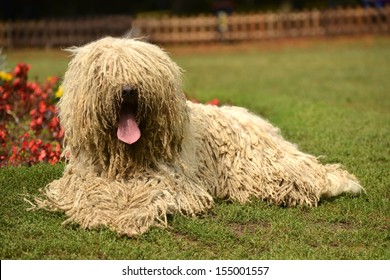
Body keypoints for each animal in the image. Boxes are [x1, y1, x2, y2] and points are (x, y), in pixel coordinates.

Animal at [35, 36, 364, 235]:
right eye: (105, 72)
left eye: (141, 71)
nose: (128, 90)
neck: (126, 157)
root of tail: (263, 127)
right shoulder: (84, 178)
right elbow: (89, 194)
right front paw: (101, 210)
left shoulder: (171, 182)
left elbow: (149, 195)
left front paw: (129, 215)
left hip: (262, 168)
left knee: (310, 177)